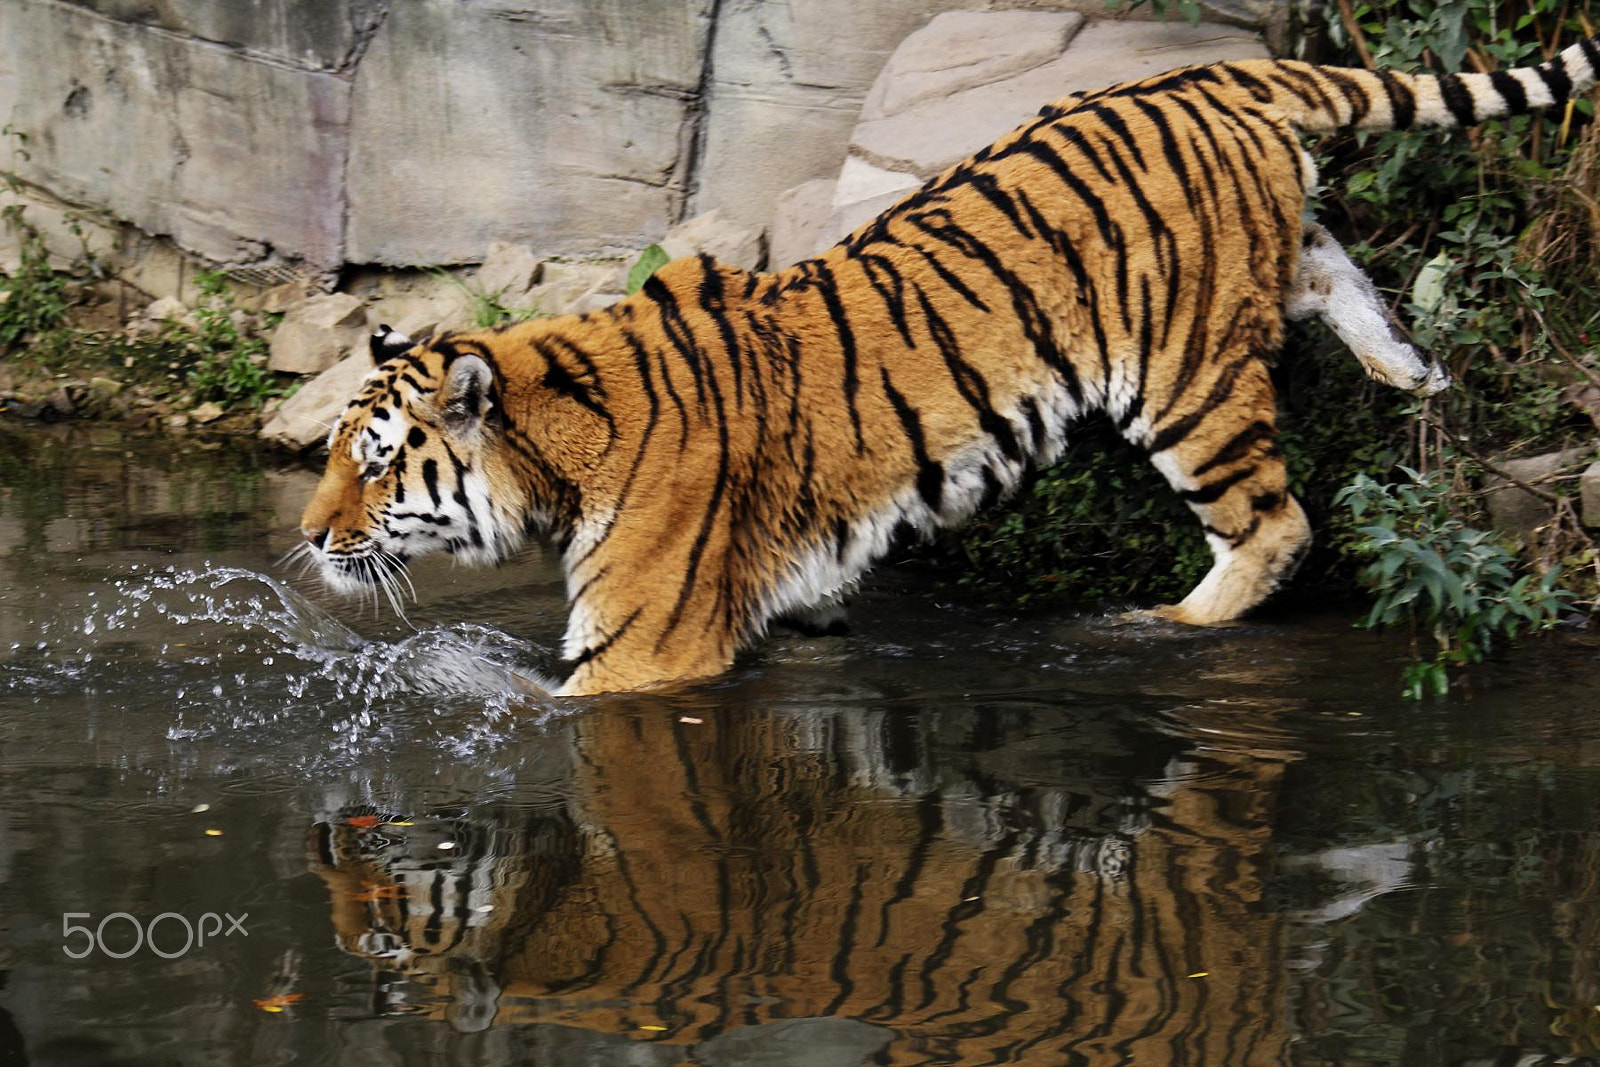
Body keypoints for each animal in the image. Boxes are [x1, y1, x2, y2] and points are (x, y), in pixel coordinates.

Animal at [300, 33, 1600, 697]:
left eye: (375, 461)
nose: (309, 538)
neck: (562, 440)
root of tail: (1210, 70)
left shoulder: (646, 647)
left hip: (1185, 377)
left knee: (1274, 527)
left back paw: (1157, 624)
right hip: (1267, 261)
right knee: (1332, 268)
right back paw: (1412, 368)